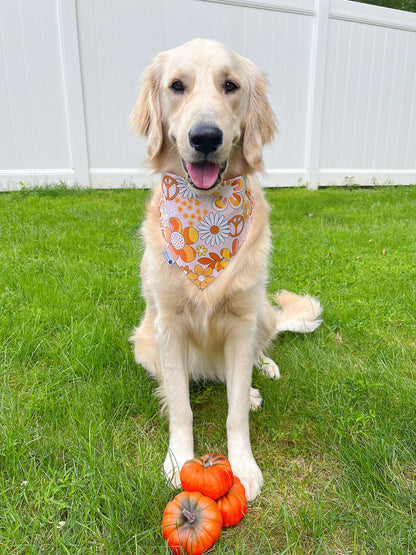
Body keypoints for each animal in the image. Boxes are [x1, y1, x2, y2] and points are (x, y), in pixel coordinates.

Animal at [130, 37, 322, 502]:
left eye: (230, 85)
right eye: (176, 86)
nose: (205, 137)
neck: (206, 218)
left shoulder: (241, 320)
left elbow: (235, 412)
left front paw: (244, 467)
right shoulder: (168, 324)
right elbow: (181, 407)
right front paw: (178, 460)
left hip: (262, 313)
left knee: (253, 357)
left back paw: (260, 373)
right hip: (144, 343)